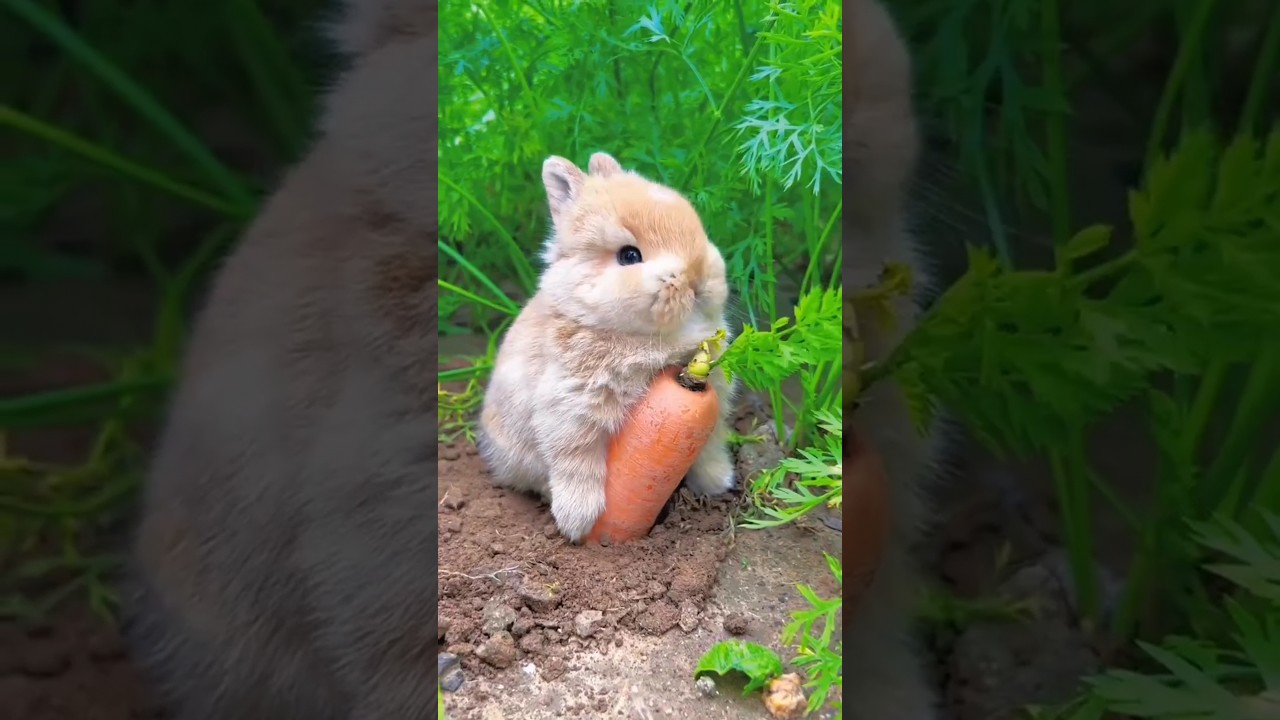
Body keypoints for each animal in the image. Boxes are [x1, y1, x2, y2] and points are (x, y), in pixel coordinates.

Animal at [476, 151, 739, 542]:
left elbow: (709, 445)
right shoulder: (571, 408)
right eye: (629, 256)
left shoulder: (714, 406)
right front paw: (576, 520)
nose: (698, 279)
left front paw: (719, 481)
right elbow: (575, 461)